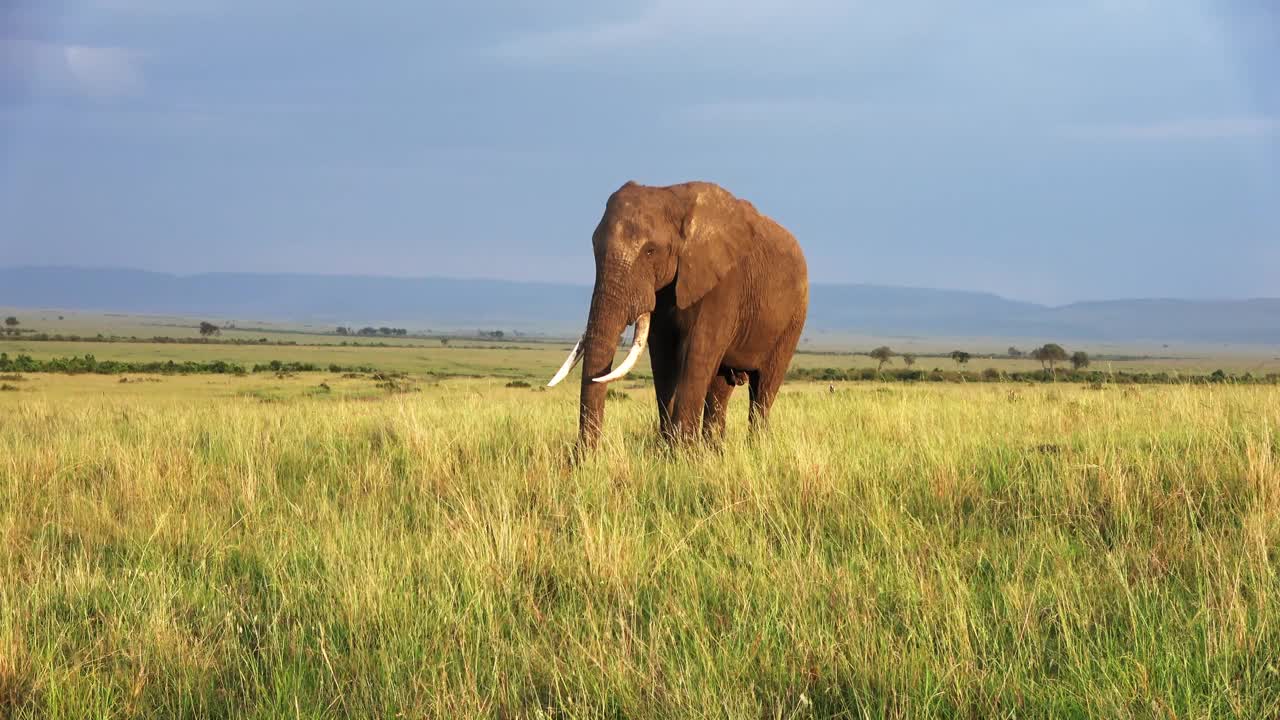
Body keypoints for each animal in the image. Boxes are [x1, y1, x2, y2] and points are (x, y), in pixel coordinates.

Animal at [545, 180, 803, 443]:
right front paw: (670, 447)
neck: (672, 196)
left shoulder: (723, 284)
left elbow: (696, 354)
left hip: (792, 320)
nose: (579, 453)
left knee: (763, 390)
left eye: (650, 251)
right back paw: (714, 448)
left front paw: (684, 450)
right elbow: (663, 356)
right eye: (594, 247)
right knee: (720, 390)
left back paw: (756, 445)